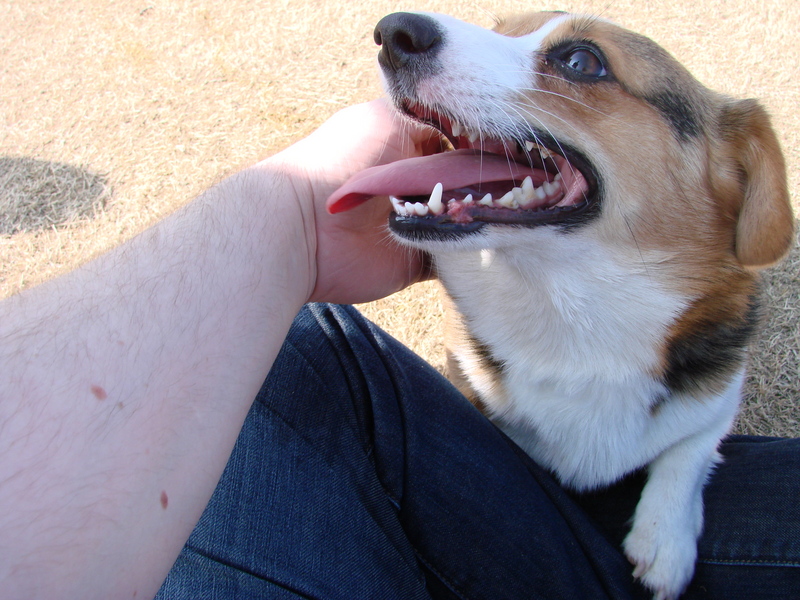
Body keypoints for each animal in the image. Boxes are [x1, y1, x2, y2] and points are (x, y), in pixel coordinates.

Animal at [326, 10, 792, 600]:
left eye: (582, 61)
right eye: (499, 27)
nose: (394, 30)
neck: (575, 317)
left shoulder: (720, 388)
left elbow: (692, 447)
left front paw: (665, 540)